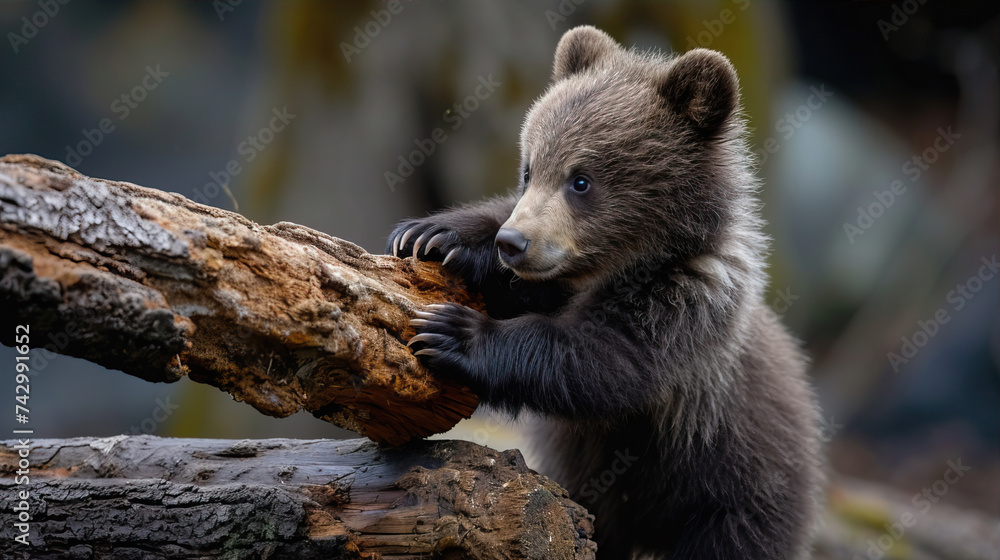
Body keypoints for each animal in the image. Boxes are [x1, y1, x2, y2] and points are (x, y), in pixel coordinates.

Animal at [387, 26, 823, 560]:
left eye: (581, 180)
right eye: (530, 168)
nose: (513, 243)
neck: (619, 268)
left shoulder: (685, 311)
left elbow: (601, 361)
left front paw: (453, 332)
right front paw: (433, 236)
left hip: (734, 494)